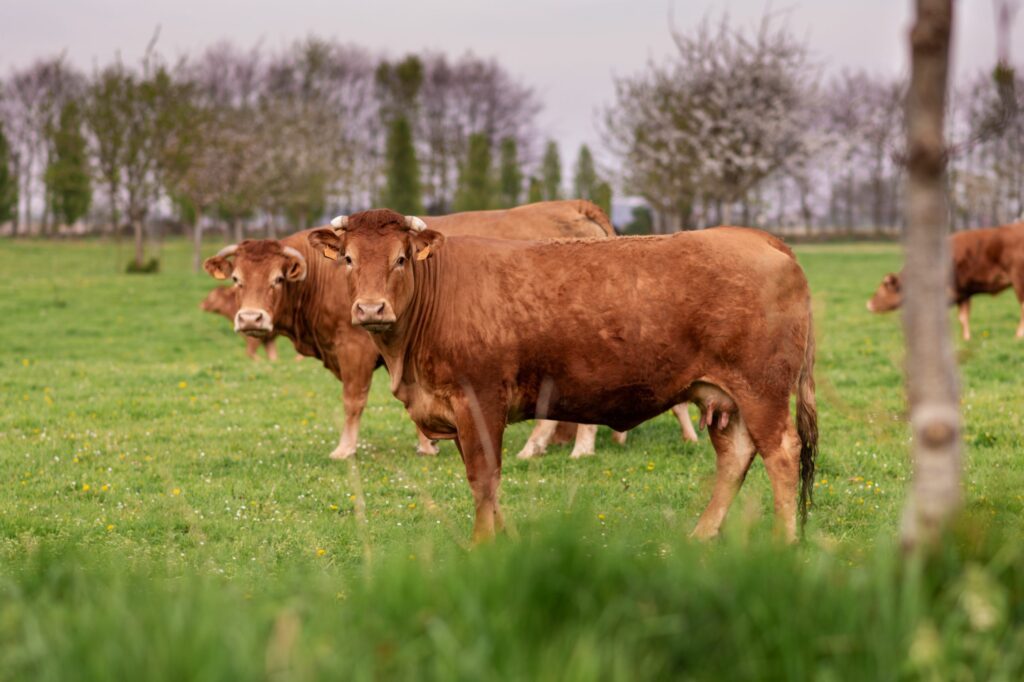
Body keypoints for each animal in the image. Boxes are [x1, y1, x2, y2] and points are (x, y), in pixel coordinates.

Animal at [203, 200, 650, 459]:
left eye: (278, 279)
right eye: (237, 280)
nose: (251, 319)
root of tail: (575, 206)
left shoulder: (354, 349)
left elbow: (353, 401)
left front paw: (345, 450)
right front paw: (428, 444)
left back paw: (569, 448)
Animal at [307, 209, 818, 542]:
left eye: (400, 258)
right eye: (349, 259)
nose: (370, 309)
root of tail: (756, 238)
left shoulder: (479, 400)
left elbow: (483, 478)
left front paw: (481, 545)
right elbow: (486, 482)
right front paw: (506, 538)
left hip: (762, 389)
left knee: (782, 453)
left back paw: (784, 542)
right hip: (723, 397)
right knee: (735, 456)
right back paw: (701, 536)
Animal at [867, 221, 1024, 340]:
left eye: (881, 290)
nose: (868, 304)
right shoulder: (963, 293)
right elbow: (963, 317)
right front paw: (966, 338)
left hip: (1018, 280)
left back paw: (1018, 336)